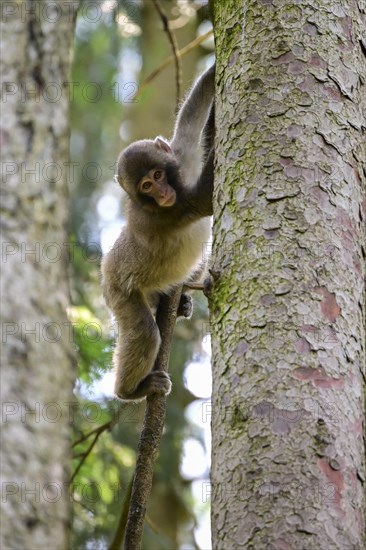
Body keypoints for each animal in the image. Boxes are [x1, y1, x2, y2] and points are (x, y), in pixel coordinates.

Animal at [101, 63, 214, 402]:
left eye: (159, 173)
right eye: (147, 186)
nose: (163, 194)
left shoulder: (183, 155)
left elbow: (191, 116)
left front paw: (215, 71)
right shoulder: (160, 217)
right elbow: (204, 200)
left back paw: (183, 301)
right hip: (118, 291)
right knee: (145, 334)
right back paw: (132, 390)